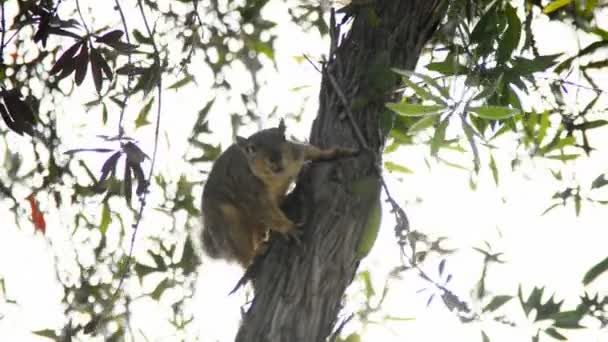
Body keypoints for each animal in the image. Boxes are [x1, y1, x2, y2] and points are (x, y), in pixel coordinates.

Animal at [202, 120, 358, 268]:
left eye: (283, 137)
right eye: (251, 149)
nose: (275, 157)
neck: (277, 177)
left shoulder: (297, 152)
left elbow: (311, 150)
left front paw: (335, 152)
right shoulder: (250, 192)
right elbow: (267, 213)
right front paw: (289, 228)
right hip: (228, 224)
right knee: (243, 256)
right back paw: (254, 253)